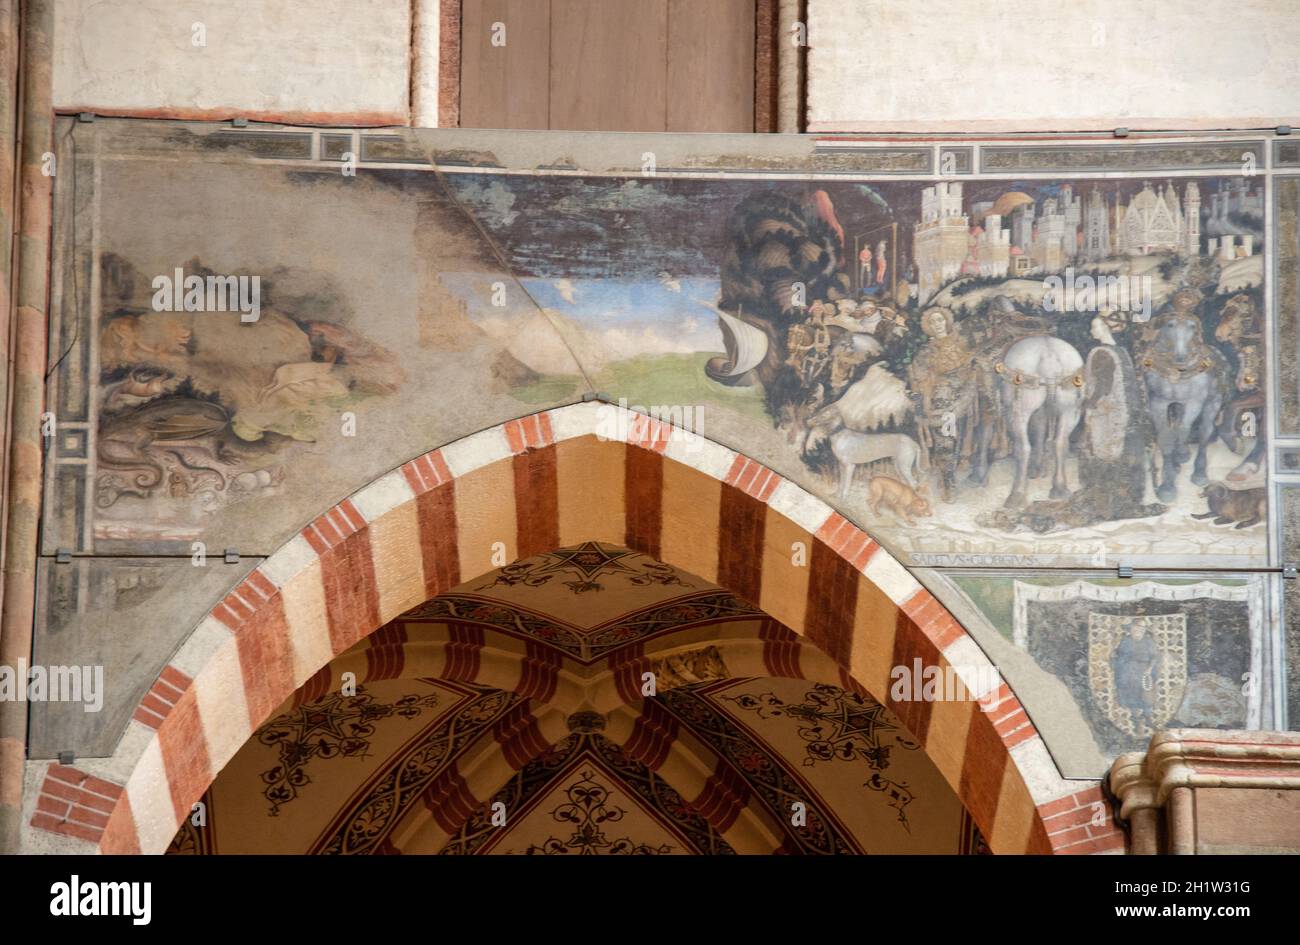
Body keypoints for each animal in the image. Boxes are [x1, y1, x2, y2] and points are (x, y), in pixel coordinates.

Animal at [993, 335, 1086, 506]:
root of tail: (1049, 356)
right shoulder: (1043, 410)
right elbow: (1040, 430)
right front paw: (1038, 469)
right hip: (1070, 404)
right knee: (1060, 441)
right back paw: (1060, 490)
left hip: (1020, 405)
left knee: (1023, 447)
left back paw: (1016, 496)